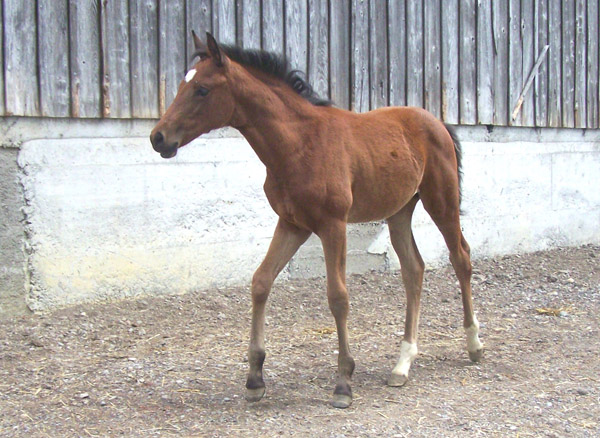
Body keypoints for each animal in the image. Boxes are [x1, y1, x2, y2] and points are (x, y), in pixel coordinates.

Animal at [150, 32, 482, 408]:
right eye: (182, 84)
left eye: (202, 90)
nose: (158, 137)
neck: (298, 144)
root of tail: (437, 122)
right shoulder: (292, 224)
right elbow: (261, 282)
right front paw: (255, 378)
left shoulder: (332, 225)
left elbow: (337, 297)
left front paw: (343, 383)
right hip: (399, 211)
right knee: (414, 269)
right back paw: (402, 364)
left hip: (441, 201)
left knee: (461, 258)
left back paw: (474, 344)